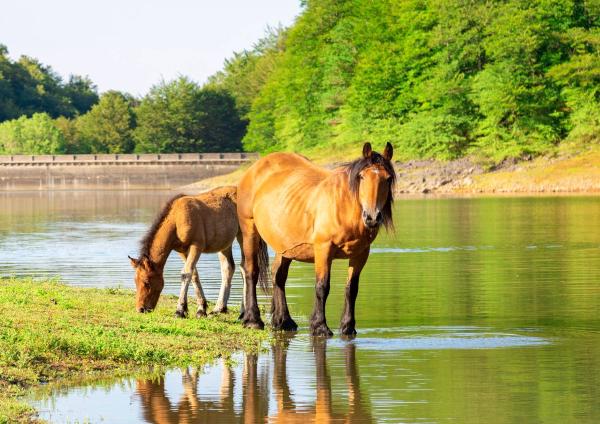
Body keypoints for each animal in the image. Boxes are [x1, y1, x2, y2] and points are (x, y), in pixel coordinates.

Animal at [237, 144, 396, 336]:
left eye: (388, 178)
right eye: (362, 176)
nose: (372, 217)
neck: (344, 206)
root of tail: (254, 168)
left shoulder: (361, 254)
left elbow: (351, 289)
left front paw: (348, 326)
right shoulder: (323, 249)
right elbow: (322, 287)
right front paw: (319, 326)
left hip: (285, 246)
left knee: (278, 276)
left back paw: (284, 321)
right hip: (249, 230)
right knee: (251, 272)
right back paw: (253, 320)